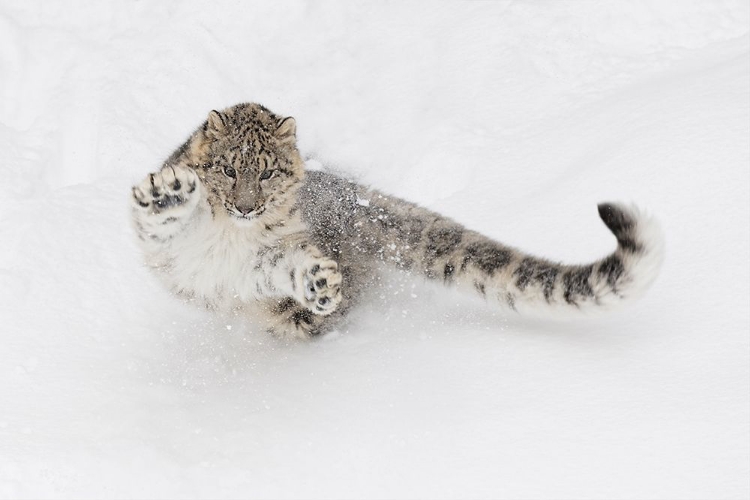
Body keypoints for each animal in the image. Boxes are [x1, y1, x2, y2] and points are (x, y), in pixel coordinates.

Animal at [129, 102, 664, 340]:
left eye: (267, 172)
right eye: (227, 169)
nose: (245, 207)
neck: (231, 239)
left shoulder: (264, 259)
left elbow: (290, 263)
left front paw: (319, 281)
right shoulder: (173, 248)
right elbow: (165, 224)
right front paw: (169, 193)